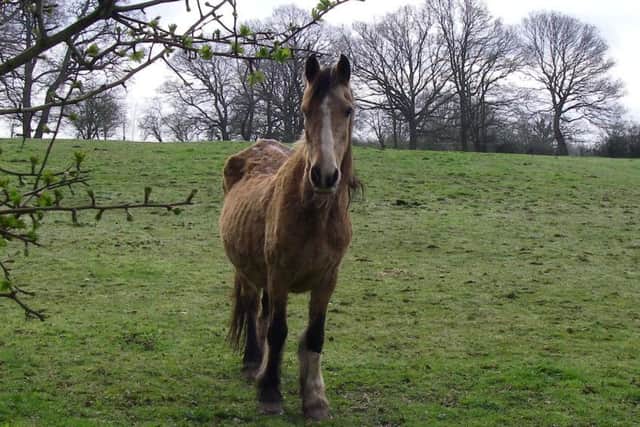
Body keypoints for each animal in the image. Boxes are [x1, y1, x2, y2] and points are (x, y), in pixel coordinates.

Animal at [218, 54, 359, 420]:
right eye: (305, 110)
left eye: (348, 110)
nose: (324, 175)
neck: (315, 216)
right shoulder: (279, 275)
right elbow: (278, 330)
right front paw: (270, 393)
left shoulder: (328, 279)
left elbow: (315, 336)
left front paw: (315, 399)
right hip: (248, 271)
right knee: (253, 309)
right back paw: (253, 363)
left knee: (263, 314)